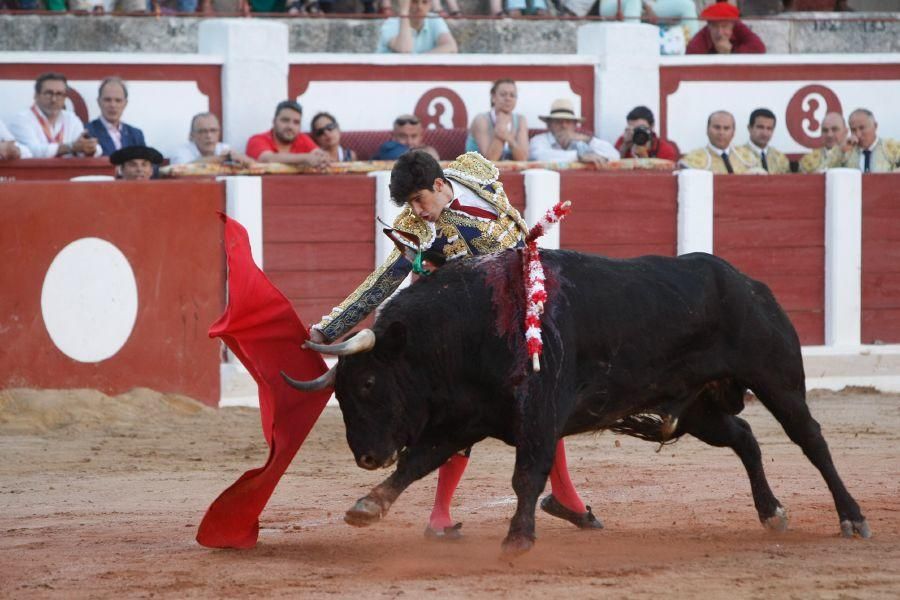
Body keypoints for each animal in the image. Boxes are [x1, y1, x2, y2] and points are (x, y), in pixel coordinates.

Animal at [284, 248, 868, 552]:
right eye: (339, 392)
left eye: (367, 383)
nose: (366, 455)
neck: (466, 328)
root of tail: (748, 283)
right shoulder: (462, 419)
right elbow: (418, 463)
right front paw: (368, 506)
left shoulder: (538, 414)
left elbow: (527, 473)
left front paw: (519, 537)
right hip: (699, 407)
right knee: (745, 438)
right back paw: (771, 512)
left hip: (776, 379)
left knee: (812, 440)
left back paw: (852, 517)